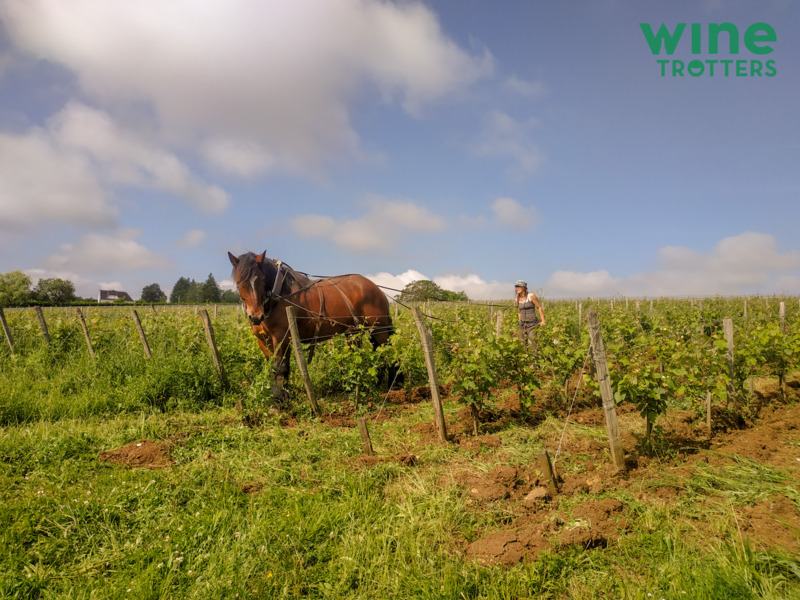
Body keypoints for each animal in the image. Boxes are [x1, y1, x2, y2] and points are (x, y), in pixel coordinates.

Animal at [228, 251, 396, 400]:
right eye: (239, 282)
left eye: (261, 280)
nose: (256, 316)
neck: (279, 295)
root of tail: (375, 288)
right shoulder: (264, 340)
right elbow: (275, 367)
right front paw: (280, 395)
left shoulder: (282, 337)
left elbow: (280, 367)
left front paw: (280, 399)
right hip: (356, 331)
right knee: (371, 353)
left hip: (379, 330)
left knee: (387, 352)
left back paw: (392, 386)